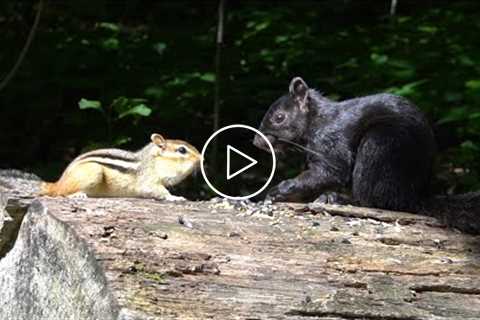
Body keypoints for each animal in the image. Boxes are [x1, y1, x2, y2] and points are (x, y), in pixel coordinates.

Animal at [251, 76, 480, 234]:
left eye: (279, 117)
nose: (256, 142)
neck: (317, 121)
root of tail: (416, 194)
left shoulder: (331, 141)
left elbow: (330, 172)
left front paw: (278, 191)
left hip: (379, 146)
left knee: (376, 201)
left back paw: (338, 199)